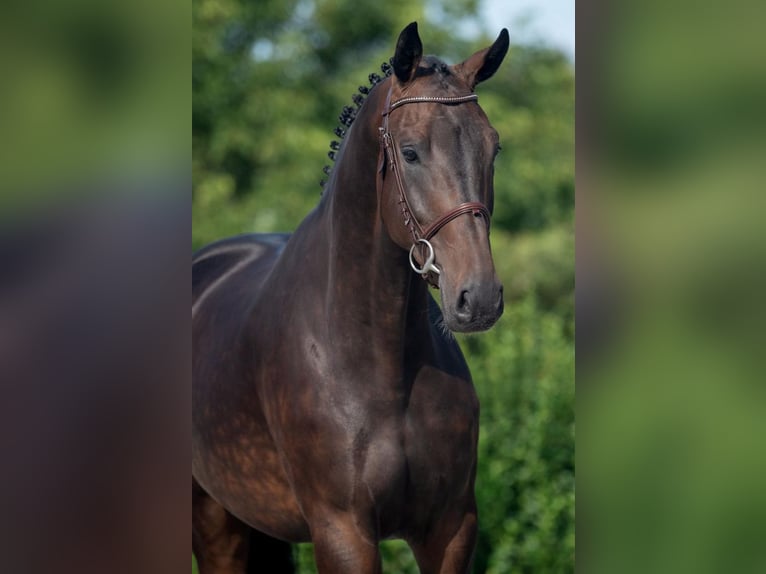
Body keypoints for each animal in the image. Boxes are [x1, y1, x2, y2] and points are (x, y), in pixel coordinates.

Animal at [194, 22, 510, 574]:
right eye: (410, 151)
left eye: (492, 148)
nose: (480, 297)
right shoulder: (342, 531)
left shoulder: (451, 528)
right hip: (214, 522)